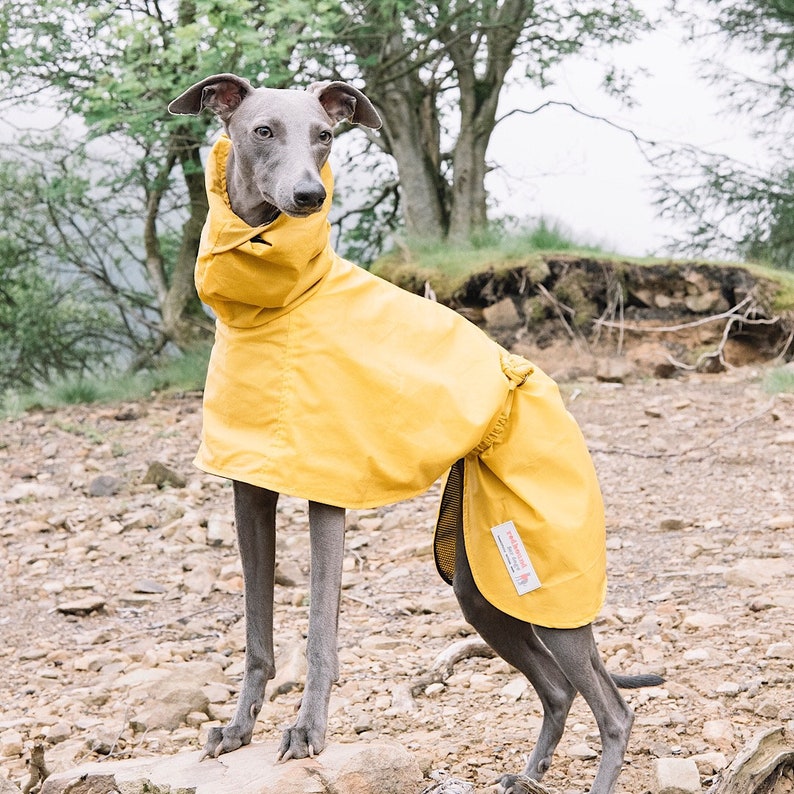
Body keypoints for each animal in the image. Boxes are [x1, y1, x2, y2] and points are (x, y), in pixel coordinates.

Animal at [169, 71, 664, 788]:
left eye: (325, 135)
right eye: (263, 130)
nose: (309, 197)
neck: (279, 304)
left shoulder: (327, 497)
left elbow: (320, 633)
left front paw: (308, 732)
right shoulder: (249, 490)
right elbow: (258, 634)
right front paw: (237, 730)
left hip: (544, 579)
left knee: (614, 708)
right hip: (483, 587)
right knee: (558, 690)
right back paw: (527, 774)